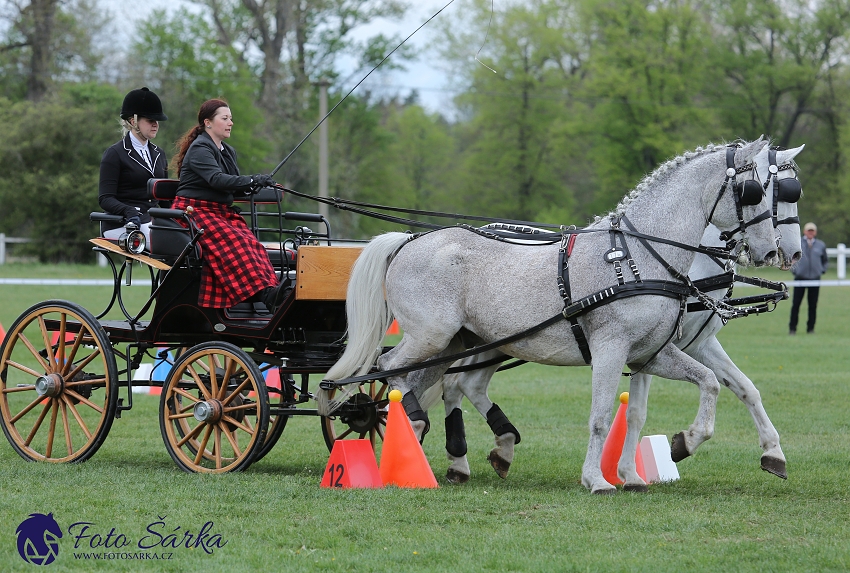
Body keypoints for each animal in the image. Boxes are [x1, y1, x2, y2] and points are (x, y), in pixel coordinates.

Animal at [430, 142, 800, 482]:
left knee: (467, 384)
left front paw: (772, 453)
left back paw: (496, 450)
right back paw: (455, 456)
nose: (782, 252)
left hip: (497, 342)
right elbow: (633, 411)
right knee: (452, 385)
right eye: (762, 193)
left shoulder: (685, 345)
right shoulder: (662, 346)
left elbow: (741, 387)